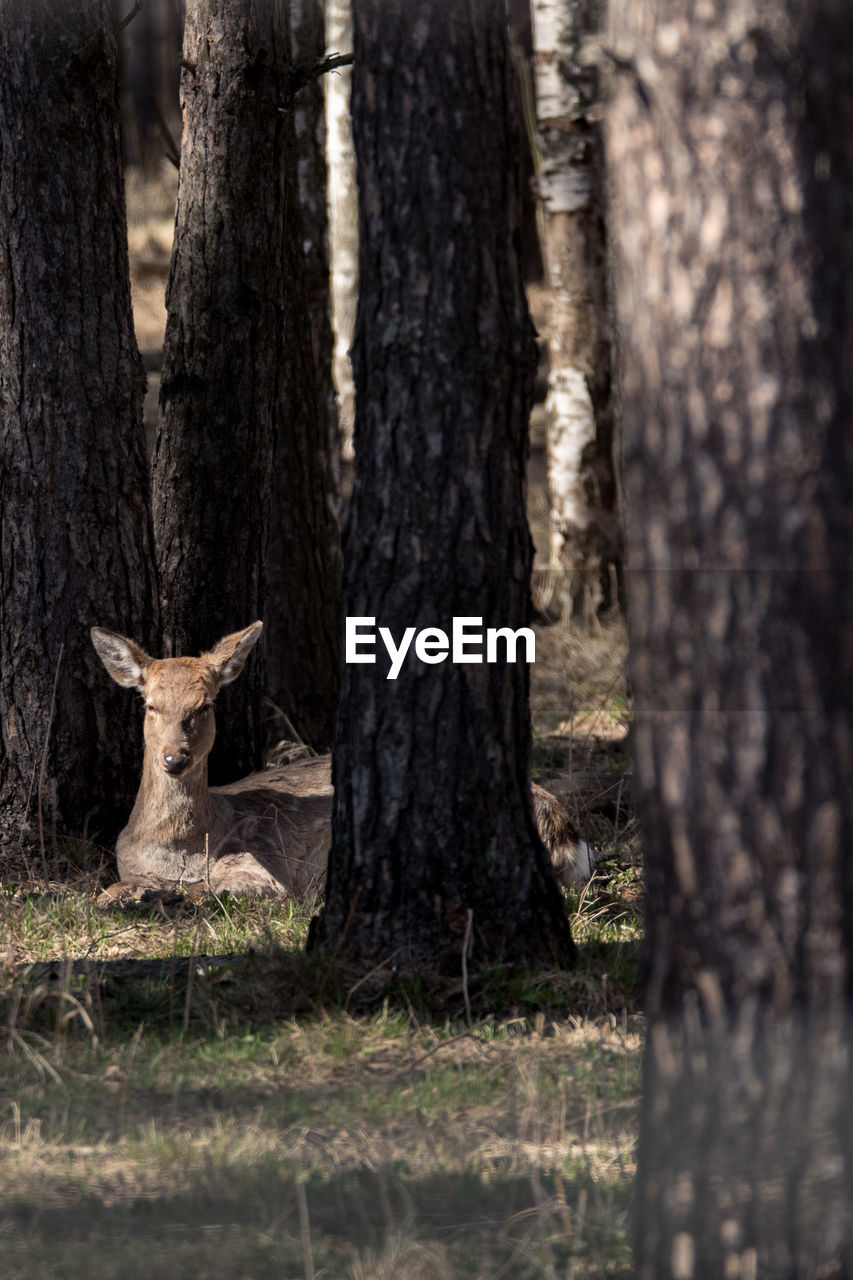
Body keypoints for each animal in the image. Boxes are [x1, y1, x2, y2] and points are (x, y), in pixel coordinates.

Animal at [91, 622, 591, 911]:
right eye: (150, 705)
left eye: (206, 704)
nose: (175, 758)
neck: (184, 843)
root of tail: (567, 829)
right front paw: (123, 895)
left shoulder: (263, 868)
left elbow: (206, 888)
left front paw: (145, 897)